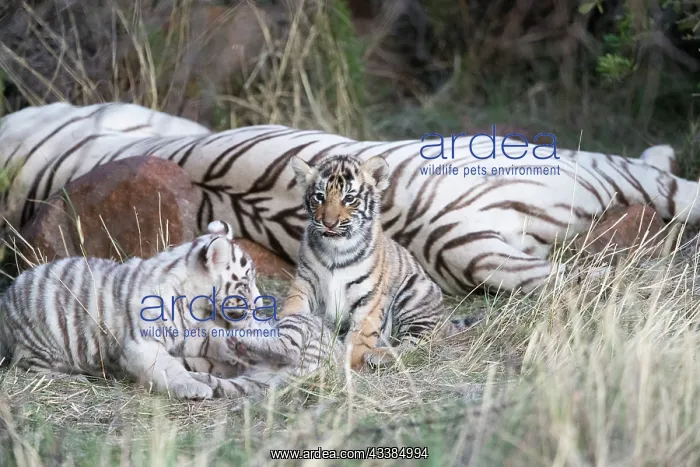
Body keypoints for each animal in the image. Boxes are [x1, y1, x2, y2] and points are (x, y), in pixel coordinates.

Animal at [0, 220, 262, 399]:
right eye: (245, 284)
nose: (260, 305)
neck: (192, 302)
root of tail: (7, 296)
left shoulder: (185, 330)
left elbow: (211, 337)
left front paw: (239, 346)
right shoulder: (141, 343)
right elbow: (168, 367)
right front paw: (193, 387)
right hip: (43, 343)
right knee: (28, 367)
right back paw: (72, 377)